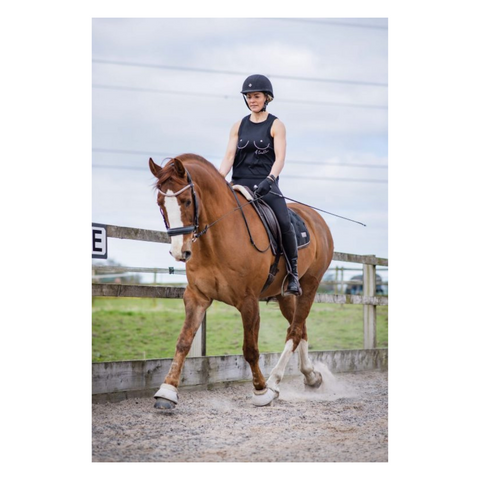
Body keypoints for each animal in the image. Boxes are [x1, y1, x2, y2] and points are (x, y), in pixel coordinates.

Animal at [148, 155, 332, 408]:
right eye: (160, 204)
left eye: (186, 201)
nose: (179, 252)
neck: (216, 241)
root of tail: (317, 219)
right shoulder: (197, 297)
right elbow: (183, 341)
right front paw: (166, 392)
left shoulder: (248, 302)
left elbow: (250, 350)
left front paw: (261, 392)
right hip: (284, 295)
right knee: (300, 328)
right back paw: (311, 376)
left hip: (310, 285)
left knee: (294, 332)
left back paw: (274, 382)